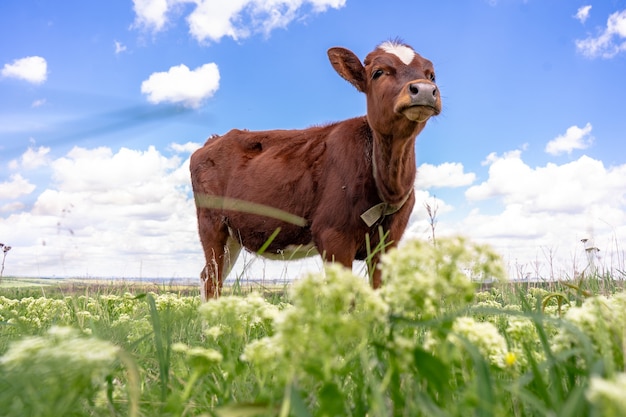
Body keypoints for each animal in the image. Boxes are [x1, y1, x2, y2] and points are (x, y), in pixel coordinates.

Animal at [190, 40, 438, 298]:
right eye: (378, 72)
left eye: (431, 75)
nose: (424, 89)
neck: (388, 186)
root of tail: (215, 139)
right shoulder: (333, 235)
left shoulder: (389, 243)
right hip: (211, 224)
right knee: (212, 279)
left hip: (232, 238)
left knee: (211, 276)